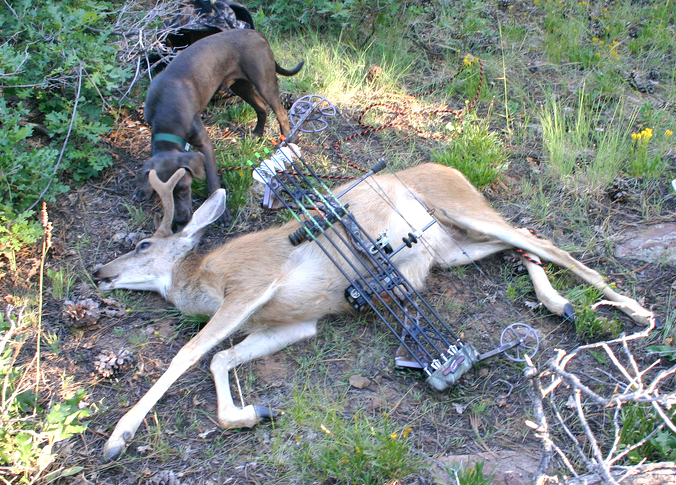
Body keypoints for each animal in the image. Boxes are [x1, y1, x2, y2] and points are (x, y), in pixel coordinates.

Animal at [92, 162, 652, 458]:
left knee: (544, 240)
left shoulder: (252, 284)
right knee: (522, 244)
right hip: (451, 248)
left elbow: (189, 353)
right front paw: (253, 413)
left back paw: (634, 310)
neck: (204, 281)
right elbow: (220, 358)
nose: (100, 272)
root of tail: (453, 169)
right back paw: (560, 304)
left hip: (464, 210)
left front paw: (119, 436)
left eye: (143, 243)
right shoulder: (297, 322)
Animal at [136, 29, 302, 225]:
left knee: (281, 112)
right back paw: (257, 133)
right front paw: (144, 189)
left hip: (263, 81)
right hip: (240, 85)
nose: (181, 220)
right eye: (162, 196)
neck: (166, 113)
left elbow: (212, 180)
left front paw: (221, 212)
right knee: (262, 107)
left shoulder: (205, 143)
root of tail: (257, 33)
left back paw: (287, 140)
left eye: (184, 187)